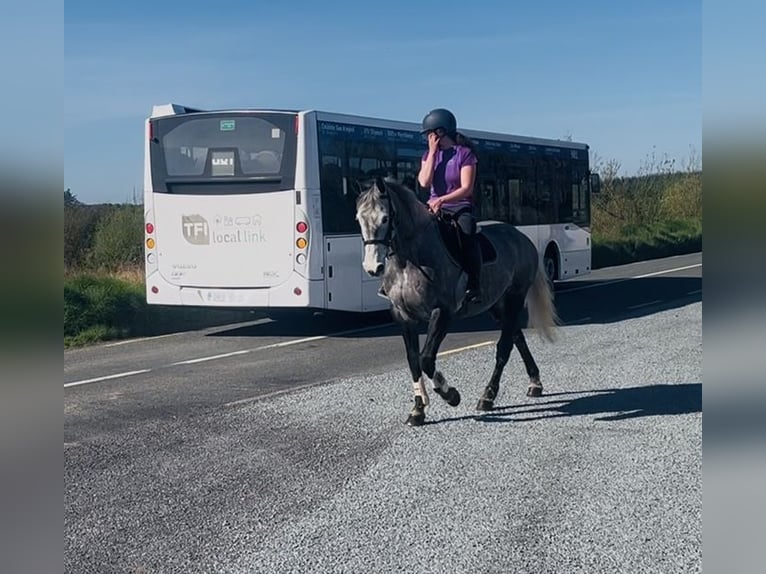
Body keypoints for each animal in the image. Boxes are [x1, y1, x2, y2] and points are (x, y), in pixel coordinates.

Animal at [355, 176, 559, 426]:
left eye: (385, 218)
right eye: (359, 219)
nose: (372, 267)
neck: (409, 260)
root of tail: (522, 238)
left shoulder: (442, 312)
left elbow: (426, 359)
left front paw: (450, 394)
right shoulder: (403, 316)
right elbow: (413, 361)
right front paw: (418, 409)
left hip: (514, 298)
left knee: (504, 347)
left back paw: (488, 396)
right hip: (496, 305)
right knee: (517, 338)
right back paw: (534, 382)